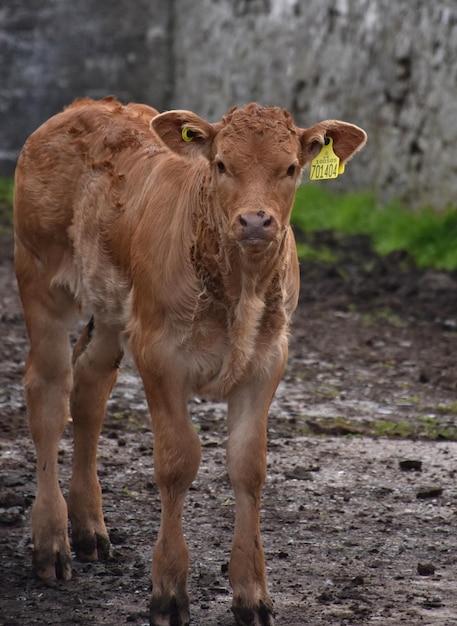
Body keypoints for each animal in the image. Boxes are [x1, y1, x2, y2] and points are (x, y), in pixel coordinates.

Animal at [12, 95, 366, 620]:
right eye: (221, 165)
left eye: (290, 168)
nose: (256, 221)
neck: (239, 288)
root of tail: (84, 106)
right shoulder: (159, 354)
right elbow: (178, 461)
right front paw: (169, 591)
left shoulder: (268, 359)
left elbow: (249, 465)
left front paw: (252, 595)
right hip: (38, 274)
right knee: (50, 393)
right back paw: (52, 541)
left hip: (113, 310)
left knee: (91, 385)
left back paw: (90, 527)